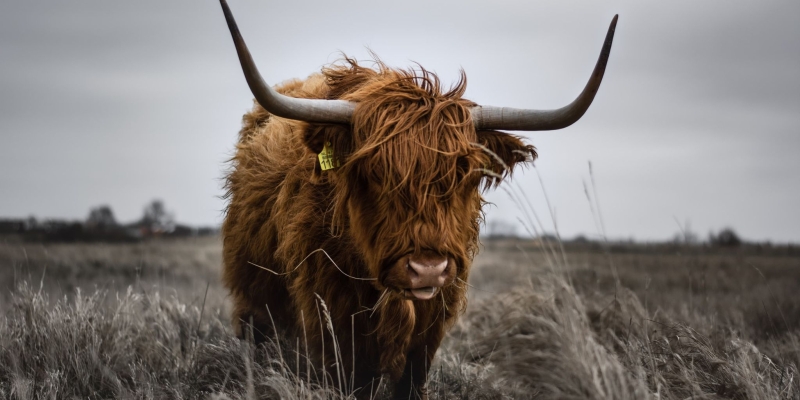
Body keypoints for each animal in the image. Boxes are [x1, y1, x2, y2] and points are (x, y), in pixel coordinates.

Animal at [219, 1, 620, 398]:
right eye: (372, 172)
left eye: (465, 174)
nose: (427, 269)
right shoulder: (333, 323)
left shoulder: (431, 325)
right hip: (254, 301)